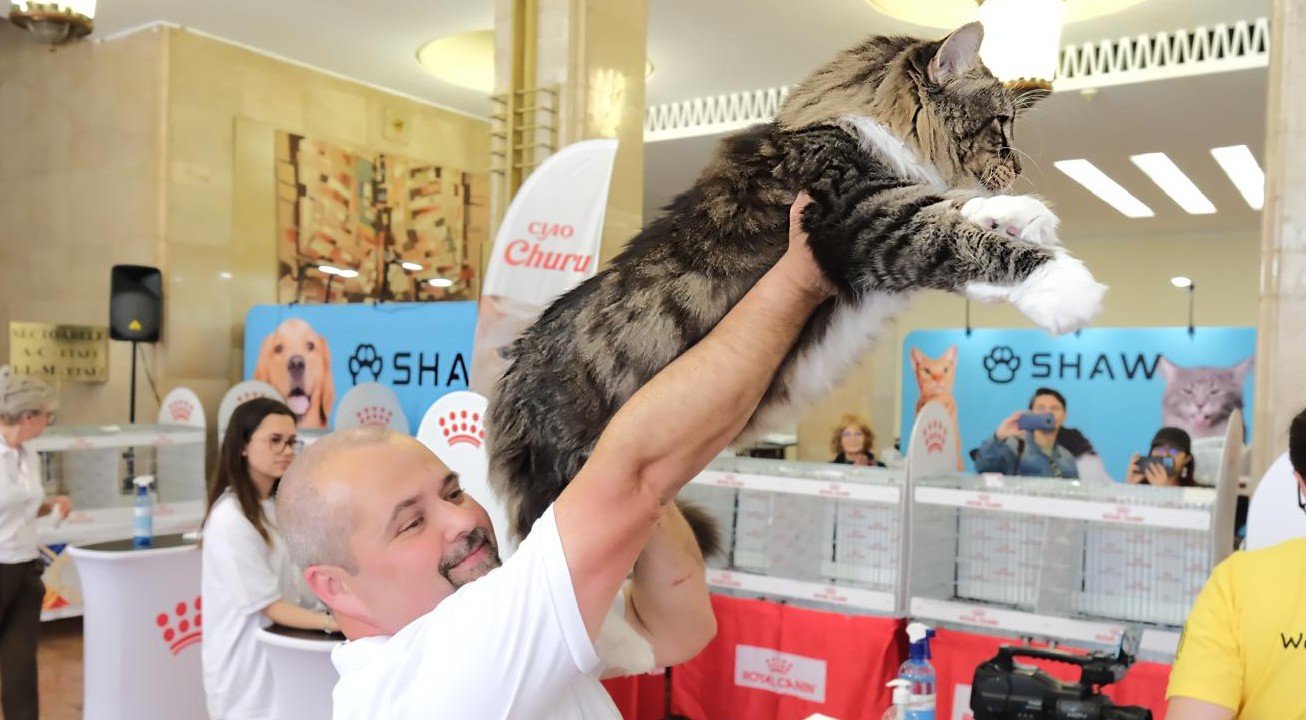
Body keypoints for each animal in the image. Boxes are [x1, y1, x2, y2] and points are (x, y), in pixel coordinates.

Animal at [486, 21, 1107, 544]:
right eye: (1001, 125)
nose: (1018, 167)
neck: (860, 124)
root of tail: (506, 391)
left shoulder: (885, 224)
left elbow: (957, 211)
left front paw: (1023, 213)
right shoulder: (863, 222)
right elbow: (957, 236)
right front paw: (1065, 285)